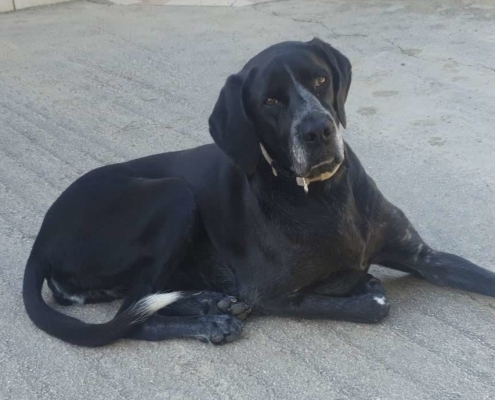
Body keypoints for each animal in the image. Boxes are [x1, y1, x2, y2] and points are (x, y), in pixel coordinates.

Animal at [23, 38, 495, 347]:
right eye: (270, 101)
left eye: (320, 80)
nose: (317, 130)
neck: (324, 194)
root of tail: (42, 237)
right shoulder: (271, 295)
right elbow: (376, 301)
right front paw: (358, 285)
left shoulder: (422, 255)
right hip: (174, 195)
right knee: (131, 317)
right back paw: (210, 321)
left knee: (143, 302)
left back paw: (210, 303)